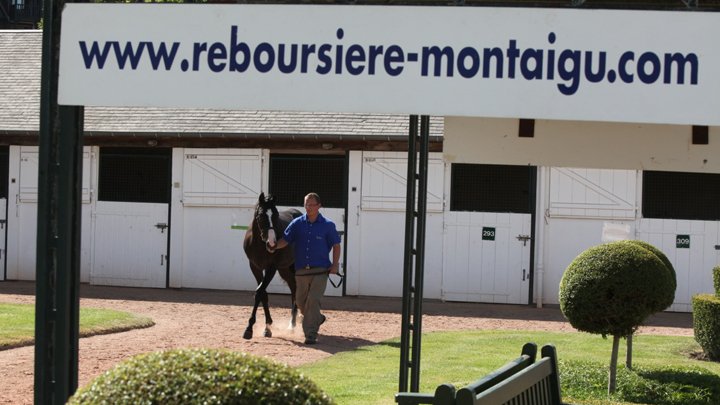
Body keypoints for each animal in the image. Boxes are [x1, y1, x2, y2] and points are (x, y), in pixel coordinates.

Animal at [242, 192, 302, 339]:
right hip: (284, 269)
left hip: (292, 267)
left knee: (296, 288)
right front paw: (267, 327)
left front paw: (249, 328)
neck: (259, 245)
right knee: (293, 287)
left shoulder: (271, 268)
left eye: (275, 215)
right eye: (261, 215)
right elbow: (263, 294)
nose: (272, 243)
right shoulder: (255, 268)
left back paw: (293, 324)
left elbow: (259, 292)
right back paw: (292, 324)